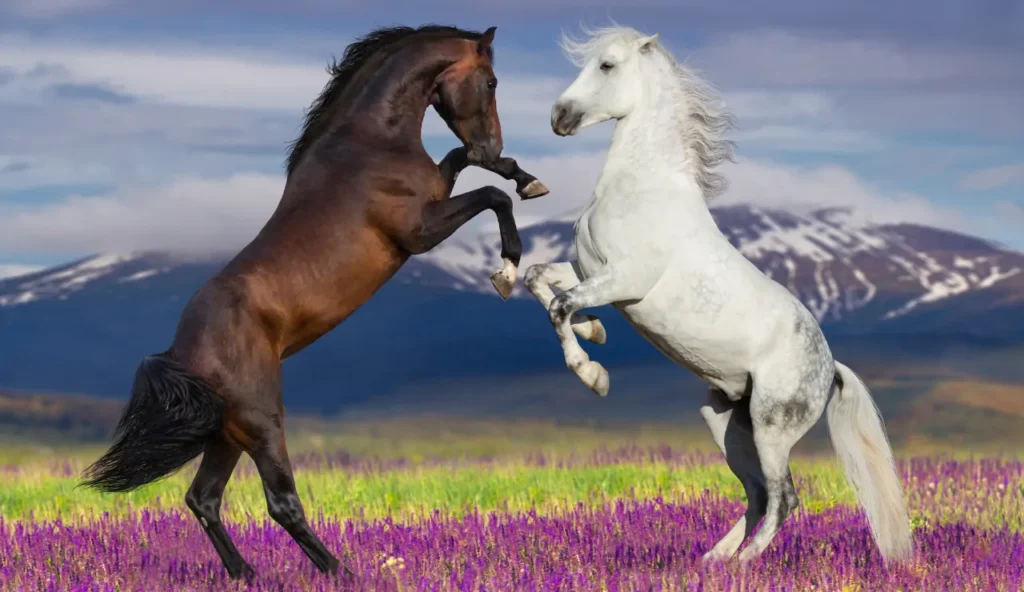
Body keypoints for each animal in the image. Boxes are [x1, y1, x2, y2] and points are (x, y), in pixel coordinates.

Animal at [80, 24, 549, 580]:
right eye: (492, 81)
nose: (492, 139)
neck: (370, 143)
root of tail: (180, 352)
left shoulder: (437, 192)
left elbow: (469, 167)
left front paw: (524, 177)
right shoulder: (419, 231)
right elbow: (492, 197)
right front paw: (506, 269)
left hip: (228, 433)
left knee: (204, 498)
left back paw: (247, 574)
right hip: (262, 422)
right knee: (280, 502)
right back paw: (341, 571)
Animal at [525, 25, 913, 564]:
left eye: (607, 65)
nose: (560, 117)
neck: (641, 188)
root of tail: (829, 367)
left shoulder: (624, 280)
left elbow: (560, 305)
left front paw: (593, 375)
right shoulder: (588, 270)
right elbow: (537, 279)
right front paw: (595, 332)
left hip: (772, 428)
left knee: (784, 497)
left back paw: (745, 564)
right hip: (725, 421)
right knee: (757, 494)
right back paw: (713, 560)